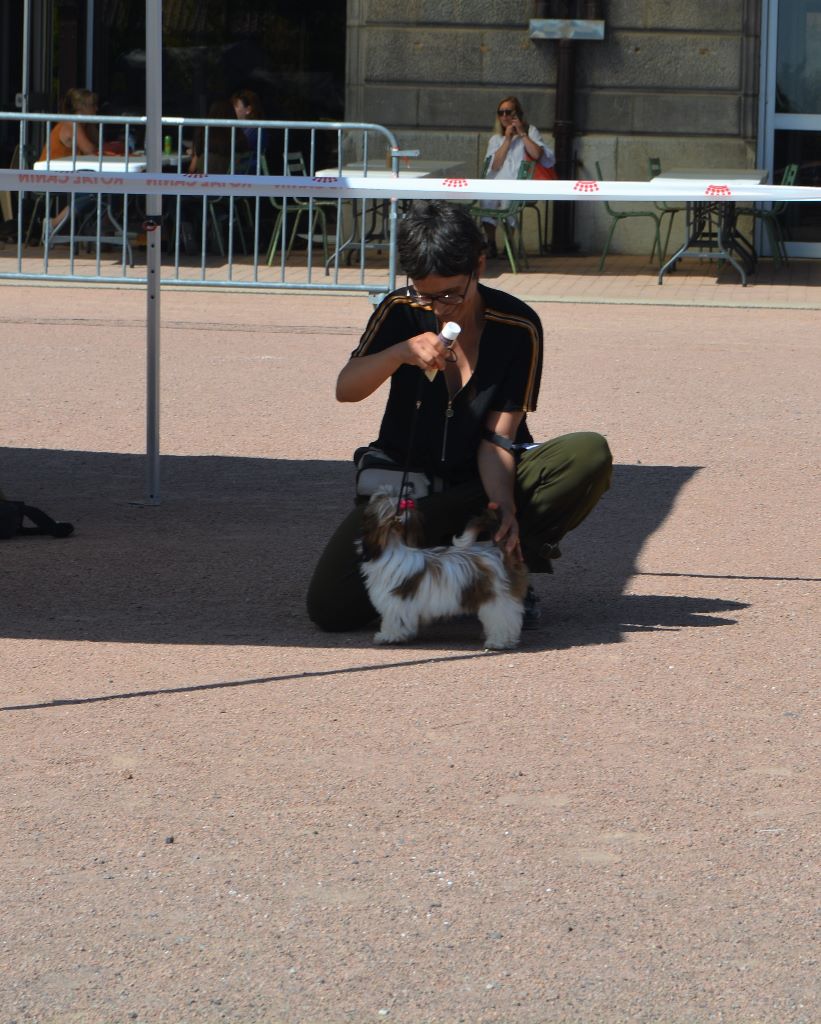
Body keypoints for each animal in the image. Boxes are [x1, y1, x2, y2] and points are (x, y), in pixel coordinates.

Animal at [356, 487, 524, 647]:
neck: (393, 546)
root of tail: (499, 551)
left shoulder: (395, 602)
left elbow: (394, 620)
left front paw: (388, 636)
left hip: (496, 597)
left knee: (503, 618)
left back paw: (500, 641)